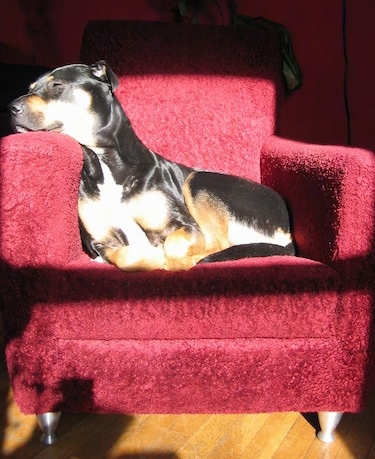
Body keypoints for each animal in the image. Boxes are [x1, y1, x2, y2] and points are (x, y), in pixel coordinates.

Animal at [9, 60, 296, 270]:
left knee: (217, 243)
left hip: (200, 180)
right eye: (31, 87)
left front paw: (168, 259)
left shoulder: (185, 226)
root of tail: (287, 229)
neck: (104, 162)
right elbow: (123, 256)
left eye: (57, 84)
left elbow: (174, 246)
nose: (11, 107)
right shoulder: (99, 242)